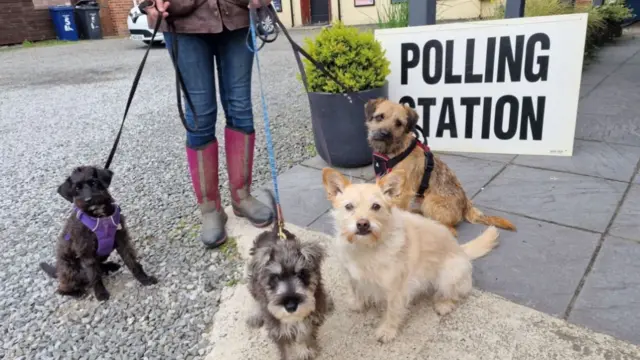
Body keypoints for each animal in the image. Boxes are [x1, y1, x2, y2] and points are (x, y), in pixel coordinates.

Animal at [39, 166, 158, 300]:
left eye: (94, 182)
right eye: (77, 188)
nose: (88, 200)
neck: (99, 217)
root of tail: (58, 270)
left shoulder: (122, 241)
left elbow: (132, 263)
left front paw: (144, 279)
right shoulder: (86, 252)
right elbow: (94, 276)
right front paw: (101, 293)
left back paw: (109, 266)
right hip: (70, 270)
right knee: (61, 289)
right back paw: (77, 292)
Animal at [245, 190, 332, 358]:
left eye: (302, 274)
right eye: (275, 277)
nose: (291, 306)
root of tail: (275, 230)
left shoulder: (308, 319)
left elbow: (304, 333)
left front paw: (305, 351)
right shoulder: (277, 328)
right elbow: (285, 347)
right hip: (253, 280)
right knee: (255, 296)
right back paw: (255, 315)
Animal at [322, 168, 498, 344]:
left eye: (376, 206)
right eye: (349, 206)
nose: (363, 224)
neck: (366, 247)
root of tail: (461, 249)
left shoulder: (395, 288)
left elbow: (392, 311)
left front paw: (387, 330)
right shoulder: (352, 276)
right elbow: (356, 289)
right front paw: (358, 304)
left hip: (450, 274)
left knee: (456, 293)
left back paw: (444, 304)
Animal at [364, 97, 516, 236]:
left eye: (399, 123)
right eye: (379, 117)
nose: (384, 134)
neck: (392, 153)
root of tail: (466, 205)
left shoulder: (404, 191)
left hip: (429, 202)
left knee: (451, 230)